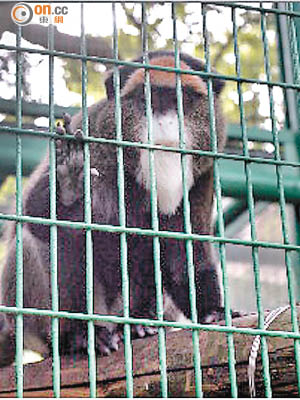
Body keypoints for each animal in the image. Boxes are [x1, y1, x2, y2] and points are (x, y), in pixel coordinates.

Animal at [0, 51, 231, 368]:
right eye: (146, 99)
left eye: (182, 99)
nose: (166, 121)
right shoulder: (91, 135)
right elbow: (38, 217)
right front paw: (69, 188)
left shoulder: (204, 172)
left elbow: (186, 253)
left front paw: (213, 312)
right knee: (36, 242)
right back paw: (77, 337)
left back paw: (138, 326)